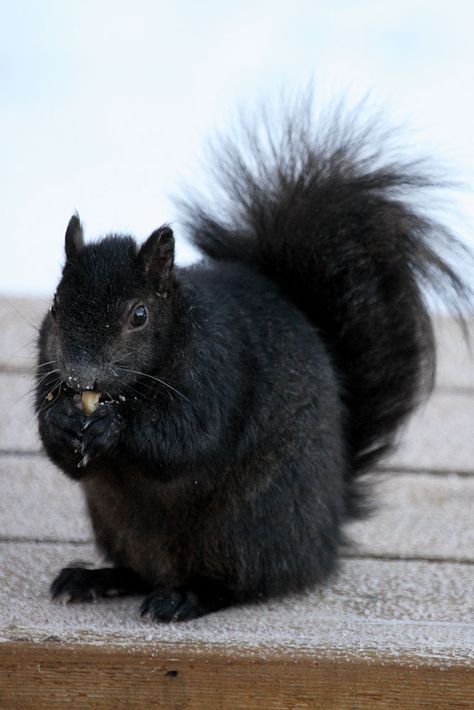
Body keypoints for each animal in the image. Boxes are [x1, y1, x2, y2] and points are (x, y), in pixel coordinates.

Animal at [35, 98, 468, 624]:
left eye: (139, 315)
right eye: (56, 303)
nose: (80, 374)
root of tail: (326, 530)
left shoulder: (218, 368)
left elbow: (185, 439)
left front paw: (113, 426)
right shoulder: (46, 364)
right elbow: (66, 456)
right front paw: (60, 419)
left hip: (245, 526)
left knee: (238, 583)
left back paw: (185, 596)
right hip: (116, 522)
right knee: (139, 571)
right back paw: (96, 578)